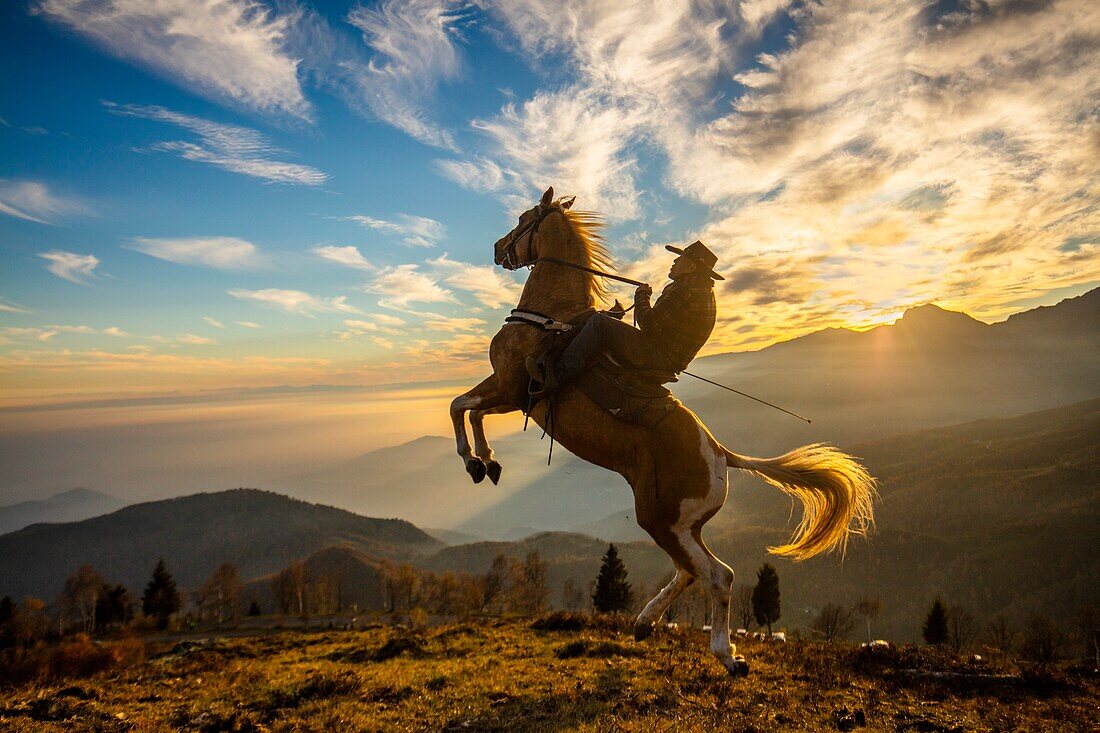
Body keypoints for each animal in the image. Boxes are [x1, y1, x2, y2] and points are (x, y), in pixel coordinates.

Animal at [448, 183, 875, 673]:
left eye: (523, 220)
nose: (498, 249)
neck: (550, 318)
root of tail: (720, 454)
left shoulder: (510, 386)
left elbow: (459, 406)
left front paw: (473, 460)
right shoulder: (512, 395)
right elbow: (472, 411)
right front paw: (487, 462)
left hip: (663, 521)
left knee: (718, 576)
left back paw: (727, 655)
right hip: (680, 525)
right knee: (691, 571)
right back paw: (645, 623)